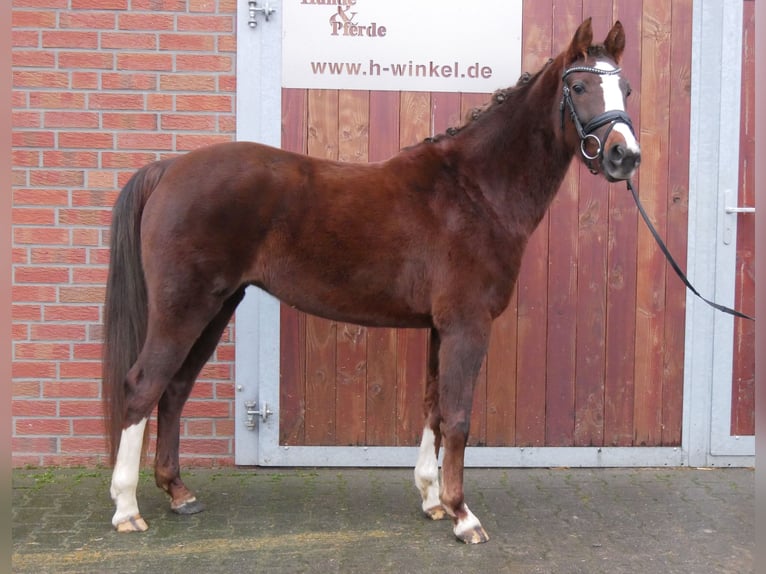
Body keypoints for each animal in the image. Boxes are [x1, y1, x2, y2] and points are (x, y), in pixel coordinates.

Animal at [103, 19, 640, 544]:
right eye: (579, 86)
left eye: (627, 88)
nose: (624, 156)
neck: (475, 192)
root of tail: (169, 168)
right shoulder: (466, 325)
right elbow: (458, 417)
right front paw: (463, 515)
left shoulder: (440, 328)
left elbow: (433, 409)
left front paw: (432, 499)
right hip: (185, 307)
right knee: (142, 385)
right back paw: (127, 508)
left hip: (216, 307)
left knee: (174, 389)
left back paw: (178, 493)